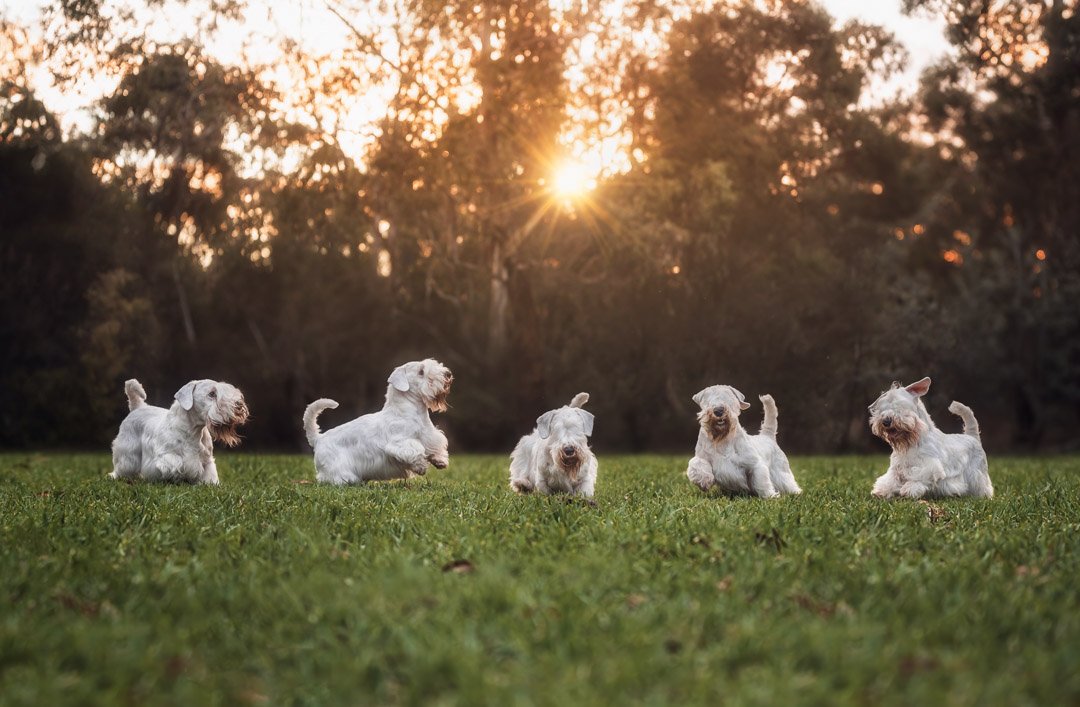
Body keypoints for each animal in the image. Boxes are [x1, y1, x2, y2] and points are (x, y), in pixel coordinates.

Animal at [111, 379, 250, 483]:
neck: (194, 431)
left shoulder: (207, 460)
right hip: (128, 453)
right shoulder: (166, 456)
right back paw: (115, 476)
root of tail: (137, 407)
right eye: (212, 393)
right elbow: (176, 463)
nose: (239, 405)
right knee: (122, 466)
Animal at [304, 360, 451, 487]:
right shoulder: (399, 443)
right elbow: (415, 451)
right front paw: (421, 467)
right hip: (338, 470)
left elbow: (433, 448)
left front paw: (440, 461)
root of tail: (318, 439)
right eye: (421, 371)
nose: (448, 374)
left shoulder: (430, 437)